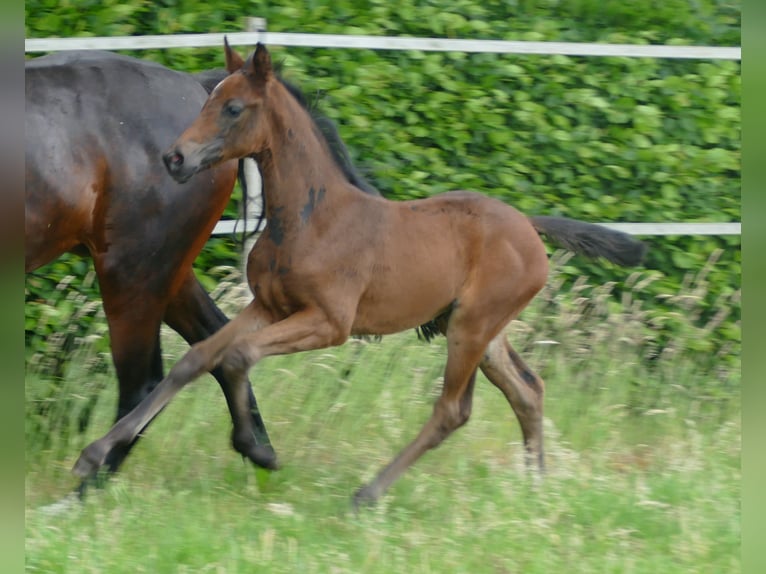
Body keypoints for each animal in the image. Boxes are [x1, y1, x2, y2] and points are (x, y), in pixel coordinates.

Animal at [73, 41, 648, 508]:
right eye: (204, 103)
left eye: (233, 108)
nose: (174, 158)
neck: (311, 217)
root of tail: (528, 224)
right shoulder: (269, 306)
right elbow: (195, 360)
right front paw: (94, 453)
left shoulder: (330, 323)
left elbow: (236, 357)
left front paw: (256, 450)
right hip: (482, 328)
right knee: (527, 391)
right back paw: (537, 490)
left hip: (471, 327)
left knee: (452, 409)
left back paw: (368, 493)